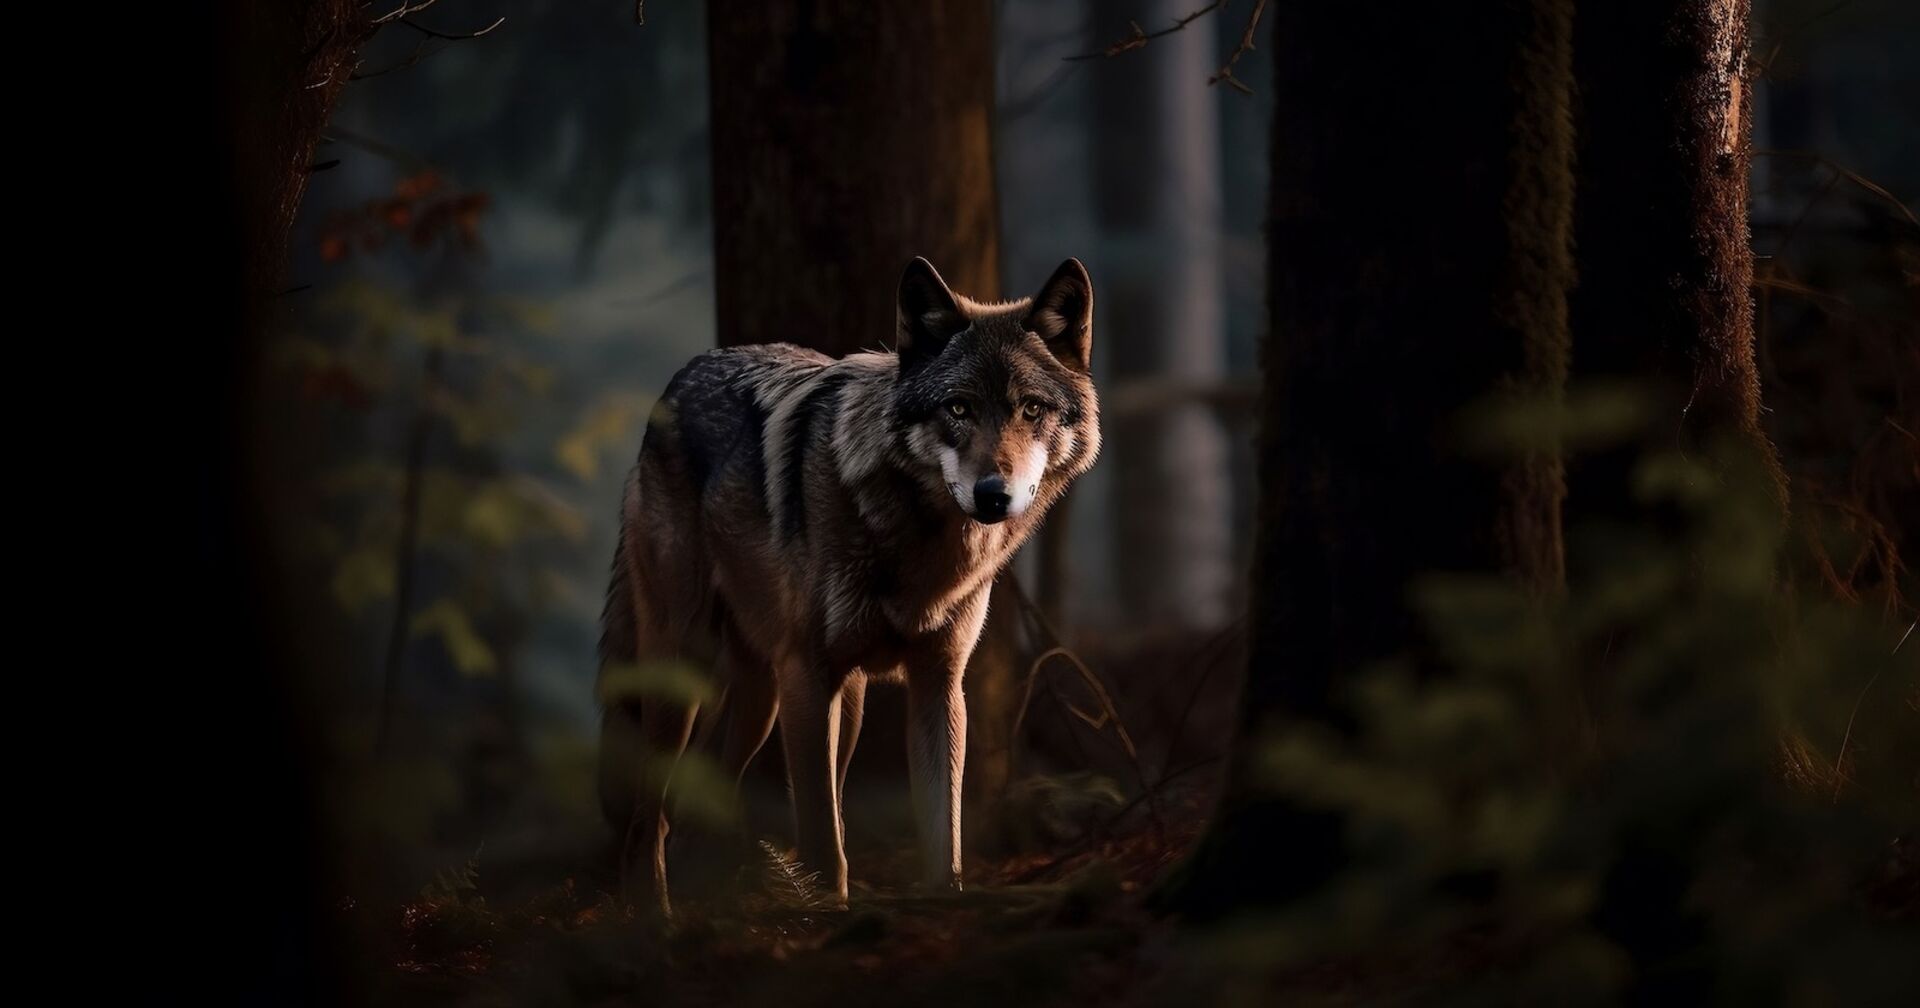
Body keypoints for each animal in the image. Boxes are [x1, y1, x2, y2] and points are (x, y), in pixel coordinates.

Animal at [598, 256, 1100, 913]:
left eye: (1032, 410)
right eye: (958, 409)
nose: (993, 495)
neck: (919, 545)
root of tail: (679, 378)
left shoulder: (939, 682)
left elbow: (943, 836)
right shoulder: (808, 676)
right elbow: (822, 839)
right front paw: (826, 914)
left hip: (797, 701)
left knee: (697, 804)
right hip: (693, 676)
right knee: (647, 819)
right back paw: (653, 917)